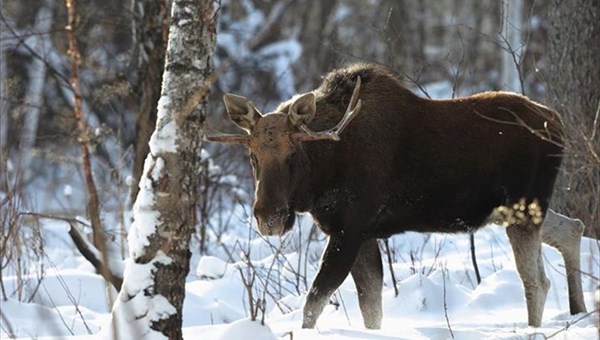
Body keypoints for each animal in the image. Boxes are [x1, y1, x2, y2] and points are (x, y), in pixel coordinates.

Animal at [205, 63, 584, 330]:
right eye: (252, 155)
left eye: (293, 153)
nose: (268, 216)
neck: (324, 170)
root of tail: (558, 122)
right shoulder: (361, 234)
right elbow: (371, 309)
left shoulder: (350, 229)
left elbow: (314, 303)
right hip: (514, 210)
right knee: (573, 228)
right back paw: (578, 310)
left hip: (524, 209)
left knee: (537, 280)